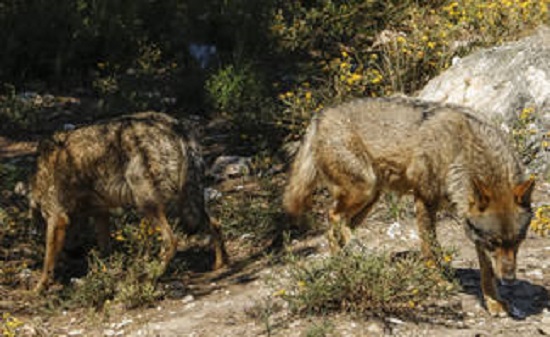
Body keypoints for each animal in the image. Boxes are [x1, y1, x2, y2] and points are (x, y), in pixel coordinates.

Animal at [30, 111, 229, 292]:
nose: (75, 253)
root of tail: (176, 126)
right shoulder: (100, 213)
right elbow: (104, 249)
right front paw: (103, 274)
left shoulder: (57, 218)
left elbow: (48, 259)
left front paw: (39, 286)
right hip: (185, 203)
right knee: (215, 224)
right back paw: (220, 264)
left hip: (149, 204)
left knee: (171, 241)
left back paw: (150, 276)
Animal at [286, 96, 536, 316]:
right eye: (494, 242)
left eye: (519, 241)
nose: (510, 279)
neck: (461, 150)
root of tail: (320, 115)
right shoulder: (425, 200)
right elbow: (430, 248)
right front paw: (438, 281)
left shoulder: (472, 227)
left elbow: (487, 271)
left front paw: (494, 302)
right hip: (364, 189)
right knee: (333, 218)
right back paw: (351, 258)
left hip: (371, 197)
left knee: (339, 226)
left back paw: (352, 261)